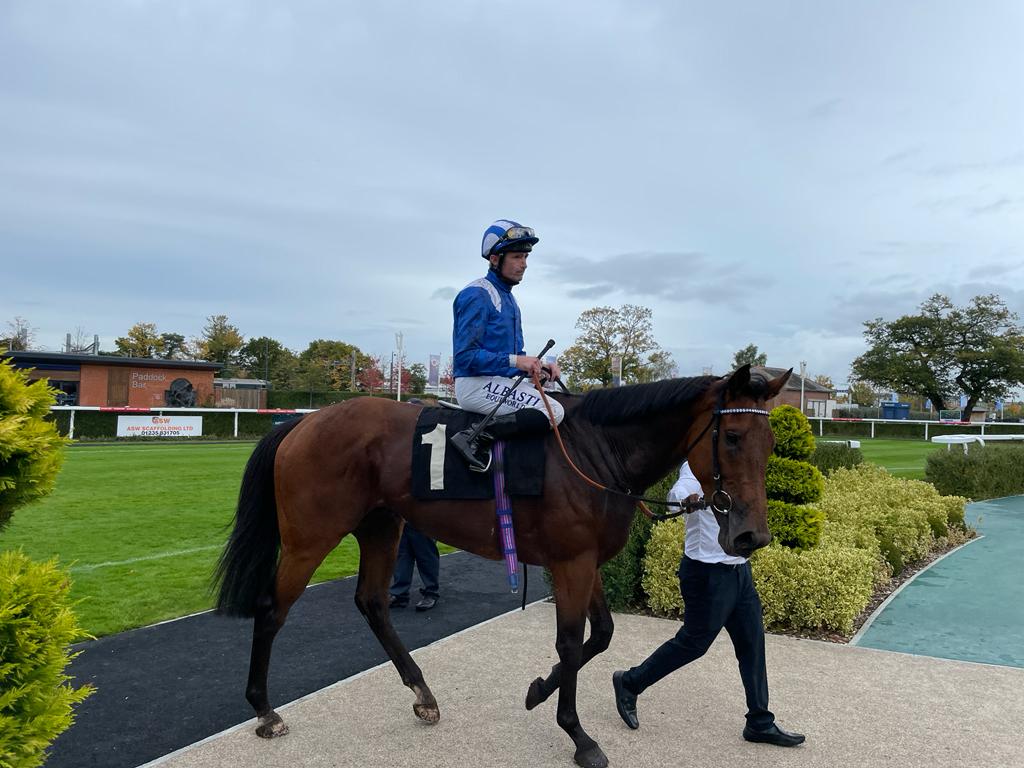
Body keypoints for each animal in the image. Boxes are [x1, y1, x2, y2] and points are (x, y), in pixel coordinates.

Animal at [214, 364, 790, 765]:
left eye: (771, 442)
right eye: (732, 437)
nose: (751, 535)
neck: (595, 451)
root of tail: (303, 423)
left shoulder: (585, 560)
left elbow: (600, 635)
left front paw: (538, 692)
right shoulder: (571, 562)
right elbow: (570, 642)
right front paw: (577, 735)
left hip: (382, 525)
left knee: (372, 602)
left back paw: (423, 694)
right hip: (310, 538)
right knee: (272, 609)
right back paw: (264, 710)